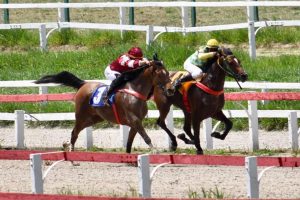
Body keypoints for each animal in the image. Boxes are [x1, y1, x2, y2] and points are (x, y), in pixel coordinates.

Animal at [34, 57, 173, 153]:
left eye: (167, 72)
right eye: (161, 74)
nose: (171, 89)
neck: (135, 91)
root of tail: (83, 84)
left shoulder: (135, 123)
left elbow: (129, 142)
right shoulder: (134, 120)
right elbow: (146, 138)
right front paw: (155, 151)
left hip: (94, 118)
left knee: (78, 130)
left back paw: (66, 144)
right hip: (81, 116)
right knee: (74, 133)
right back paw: (71, 152)